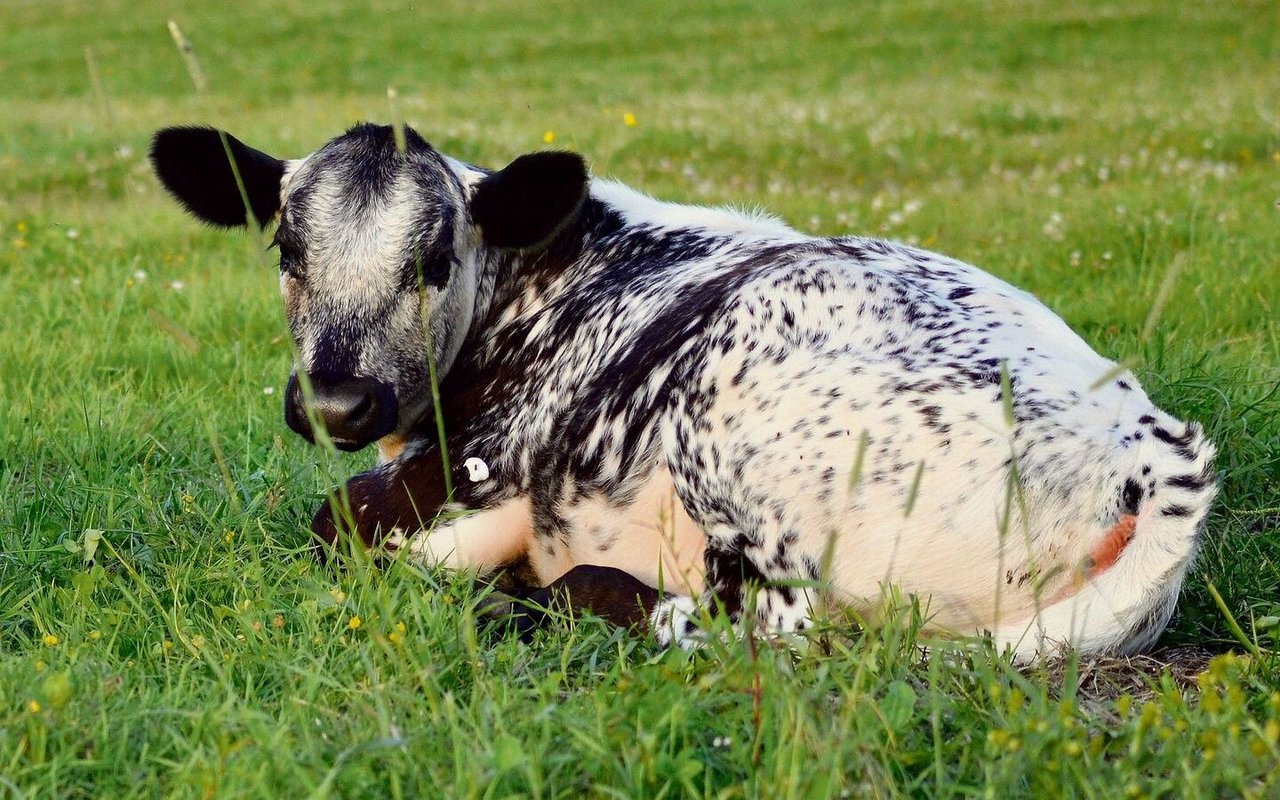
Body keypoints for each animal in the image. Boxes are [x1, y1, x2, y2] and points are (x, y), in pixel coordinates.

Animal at [152, 123, 1218, 660]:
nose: (337, 403)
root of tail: (1153, 444)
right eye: (287, 251)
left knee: (746, 628)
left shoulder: (481, 466)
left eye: (435, 259)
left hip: (737, 447)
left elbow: (334, 520)